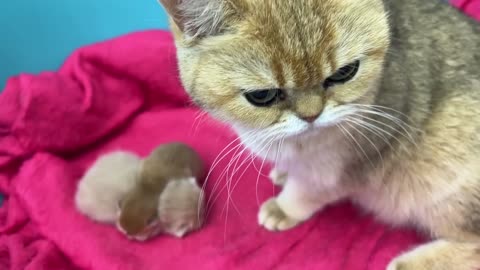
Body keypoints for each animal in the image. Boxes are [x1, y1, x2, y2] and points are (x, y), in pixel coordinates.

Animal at [158, 0, 480, 268]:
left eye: (345, 72)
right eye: (262, 96)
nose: (311, 115)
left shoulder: (343, 165)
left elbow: (308, 189)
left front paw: (284, 207)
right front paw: (284, 171)